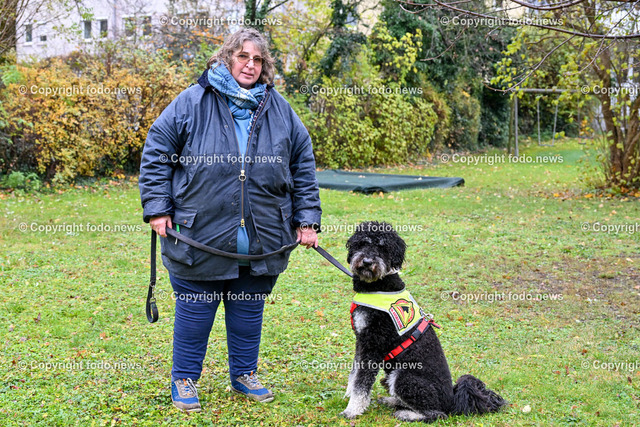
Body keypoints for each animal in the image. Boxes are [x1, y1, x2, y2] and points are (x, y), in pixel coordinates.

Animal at [341, 221, 506, 422]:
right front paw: (349, 395)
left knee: (436, 413)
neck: (379, 284)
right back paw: (391, 401)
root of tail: (452, 402)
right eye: (363, 243)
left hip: (404, 376)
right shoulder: (362, 340)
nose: (367, 262)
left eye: (382, 248)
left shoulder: (373, 344)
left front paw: (352, 410)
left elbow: (362, 382)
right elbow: (354, 373)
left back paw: (405, 413)